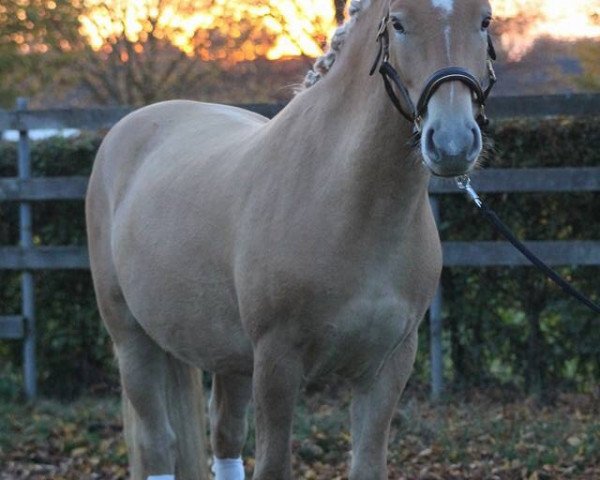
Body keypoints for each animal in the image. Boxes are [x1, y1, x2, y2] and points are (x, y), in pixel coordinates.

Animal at [85, 0, 496, 480]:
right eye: (397, 22)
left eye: (484, 20)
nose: (452, 143)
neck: (350, 206)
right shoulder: (277, 364)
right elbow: (273, 464)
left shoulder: (387, 367)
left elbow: (367, 463)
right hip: (132, 341)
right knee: (157, 443)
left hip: (228, 356)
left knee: (224, 437)